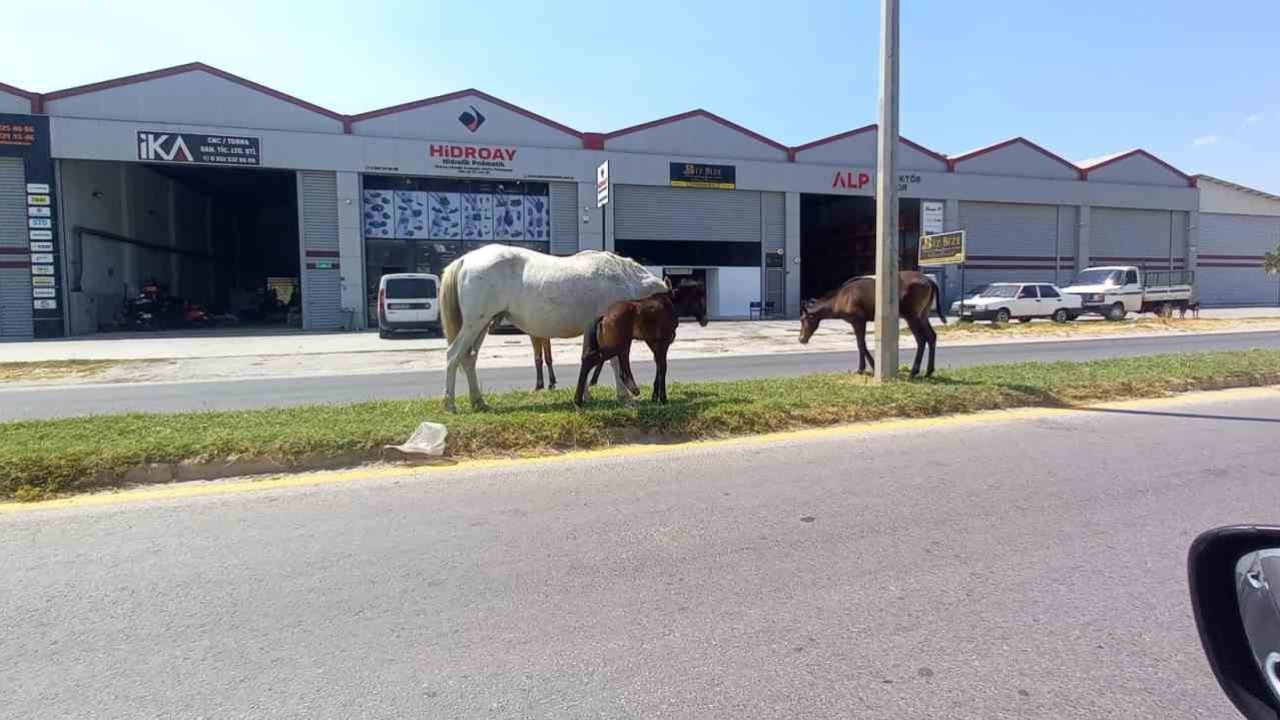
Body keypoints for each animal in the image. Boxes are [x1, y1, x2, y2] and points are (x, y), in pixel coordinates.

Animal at [437, 243, 665, 409]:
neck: (622, 278)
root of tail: (465, 259)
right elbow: (615, 362)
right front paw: (624, 396)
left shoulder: (589, 329)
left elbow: (587, 358)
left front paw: (586, 394)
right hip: (474, 324)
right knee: (453, 355)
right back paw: (449, 404)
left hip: (482, 325)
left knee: (468, 358)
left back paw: (478, 401)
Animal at [578, 280, 711, 404]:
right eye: (700, 299)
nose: (705, 320)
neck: (670, 304)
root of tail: (604, 317)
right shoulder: (664, 342)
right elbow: (663, 367)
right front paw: (663, 398)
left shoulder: (653, 342)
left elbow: (658, 365)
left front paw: (654, 396)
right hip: (620, 345)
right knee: (590, 360)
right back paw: (579, 400)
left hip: (621, 345)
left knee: (619, 368)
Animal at [798, 269, 952, 379]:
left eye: (803, 319)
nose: (801, 339)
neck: (838, 301)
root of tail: (929, 281)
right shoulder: (859, 321)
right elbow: (861, 344)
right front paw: (868, 367)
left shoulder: (858, 320)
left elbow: (861, 344)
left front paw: (865, 367)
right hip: (923, 314)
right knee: (932, 336)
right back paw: (929, 371)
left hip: (912, 315)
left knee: (921, 339)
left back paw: (914, 371)